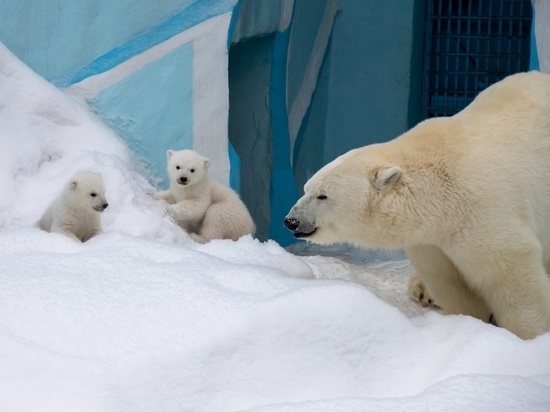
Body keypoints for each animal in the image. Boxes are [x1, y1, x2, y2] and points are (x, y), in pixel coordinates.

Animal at [286, 71, 550, 342]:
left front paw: (532, 336)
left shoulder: (483, 208)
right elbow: (448, 280)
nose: (291, 221)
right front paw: (469, 319)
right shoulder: (431, 238)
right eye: (306, 188)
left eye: (323, 196)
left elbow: (510, 270)